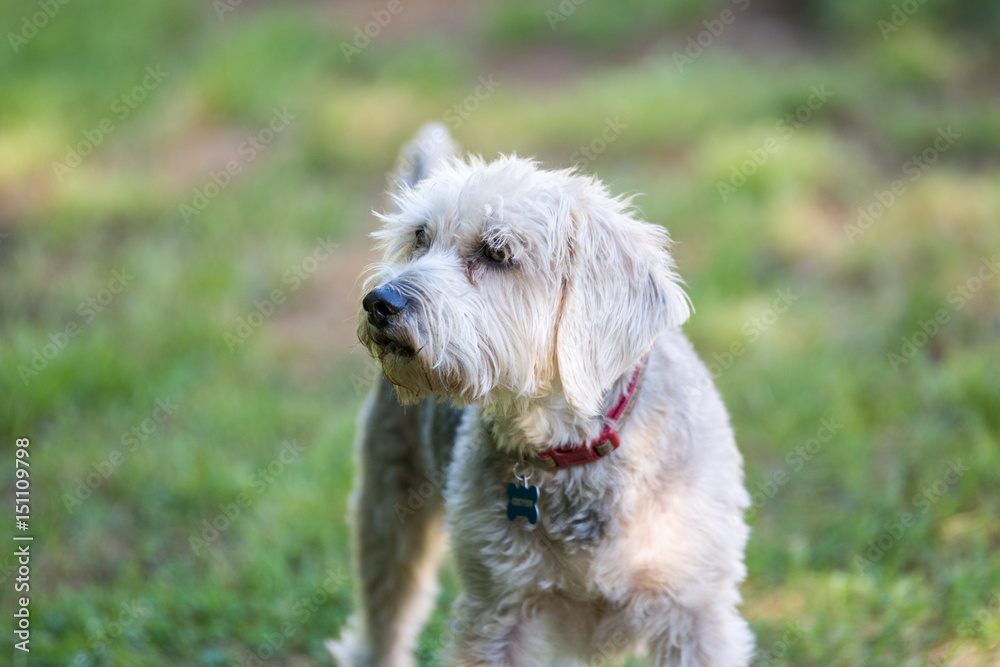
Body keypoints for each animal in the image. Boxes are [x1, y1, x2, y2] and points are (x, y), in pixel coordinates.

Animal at [328, 126, 752, 667]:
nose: (380, 302)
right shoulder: (498, 612)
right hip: (388, 514)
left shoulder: (694, 611)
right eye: (420, 238)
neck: (571, 448)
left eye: (497, 252)